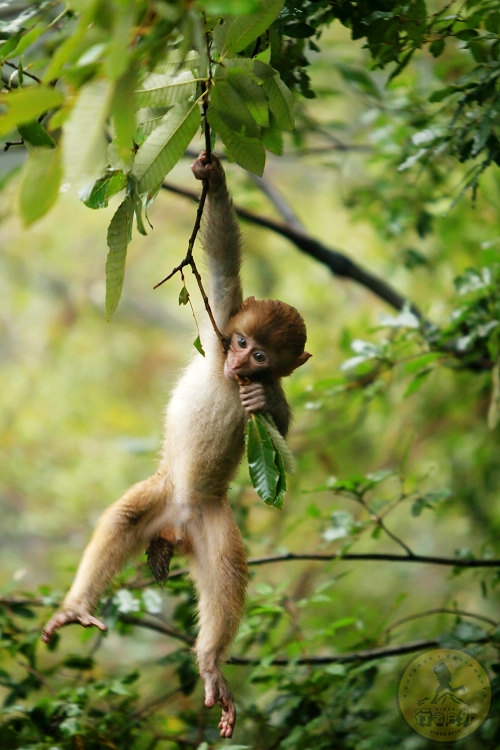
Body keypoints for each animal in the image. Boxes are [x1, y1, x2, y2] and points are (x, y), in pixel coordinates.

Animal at [41, 151, 310, 740]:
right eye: (240, 342)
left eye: (261, 355)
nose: (240, 362)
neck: (229, 372)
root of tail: (178, 526)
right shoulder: (217, 326)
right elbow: (224, 267)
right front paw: (213, 174)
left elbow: (281, 430)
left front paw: (260, 399)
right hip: (161, 495)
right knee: (122, 521)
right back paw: (77, 606)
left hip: (212, 522)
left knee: (228, 576)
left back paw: (211, 665)